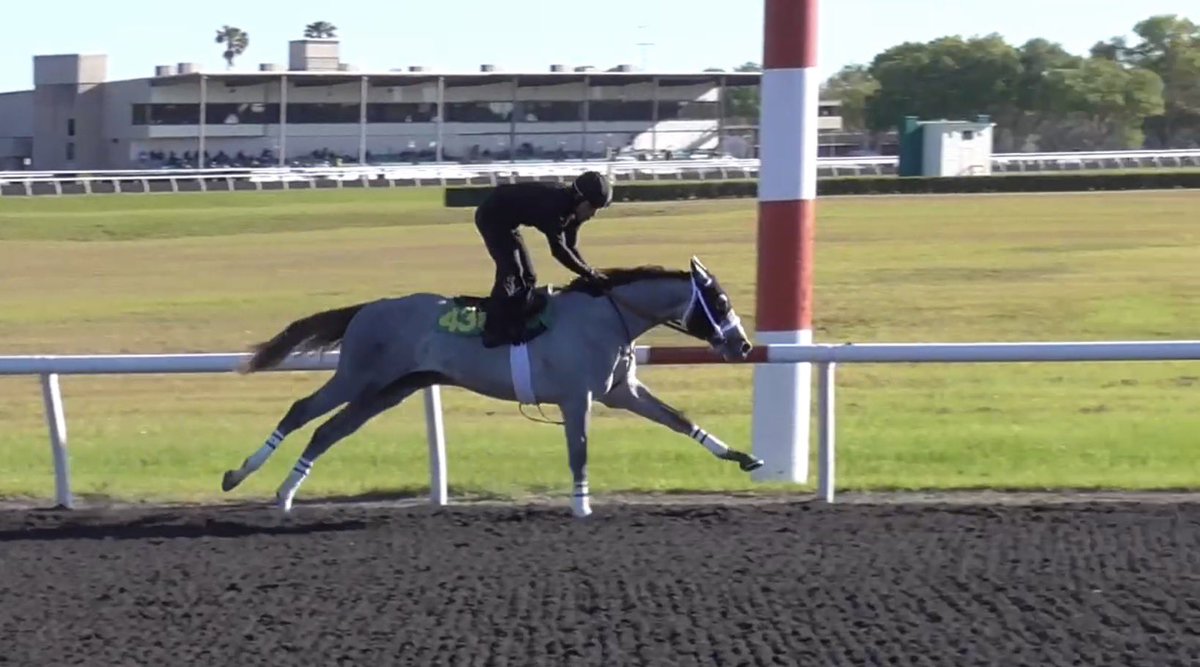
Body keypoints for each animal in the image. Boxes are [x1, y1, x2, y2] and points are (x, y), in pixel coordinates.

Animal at [220, 256, 763, 518]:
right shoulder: (577, 398)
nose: (741, 345)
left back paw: (286, 493)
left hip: (390, 389)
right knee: (300, 412)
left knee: (328, 432)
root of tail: (368, 308)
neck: (608, 317)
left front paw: (745, 458)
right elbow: (579, 452)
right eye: (719, 300)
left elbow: (680, 421)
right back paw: (239, 476)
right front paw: (581, 505)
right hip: (358, 376)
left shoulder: (620, 392)